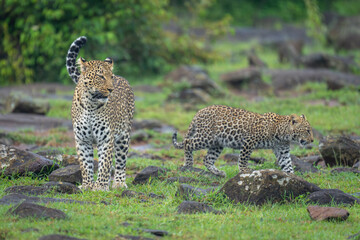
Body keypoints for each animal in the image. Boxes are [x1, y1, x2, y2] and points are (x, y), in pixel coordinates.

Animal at [65, 35, 134, 190]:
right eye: (100, 76)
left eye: (111, 77)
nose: (111, 89)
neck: (90, 105)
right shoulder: (82, 140)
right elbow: (85, 164)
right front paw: (87, 185)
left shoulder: (106, 139)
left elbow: (104, 163)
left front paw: (100, 187)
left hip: (123, 136)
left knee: (120, 161)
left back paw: (118, 183)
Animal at [173, 104, 314, 176]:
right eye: (307, 130)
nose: (312, 140)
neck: (284, 134)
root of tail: (199, 111)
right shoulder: (249, 141)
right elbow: (243, 157)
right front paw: (244, 170)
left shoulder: (282, 150)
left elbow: (287, 164)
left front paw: (293, 177)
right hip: (206, 137)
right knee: (187, 143)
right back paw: (188, 164)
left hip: (217, 143)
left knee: (207, 159)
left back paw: (218, 172)